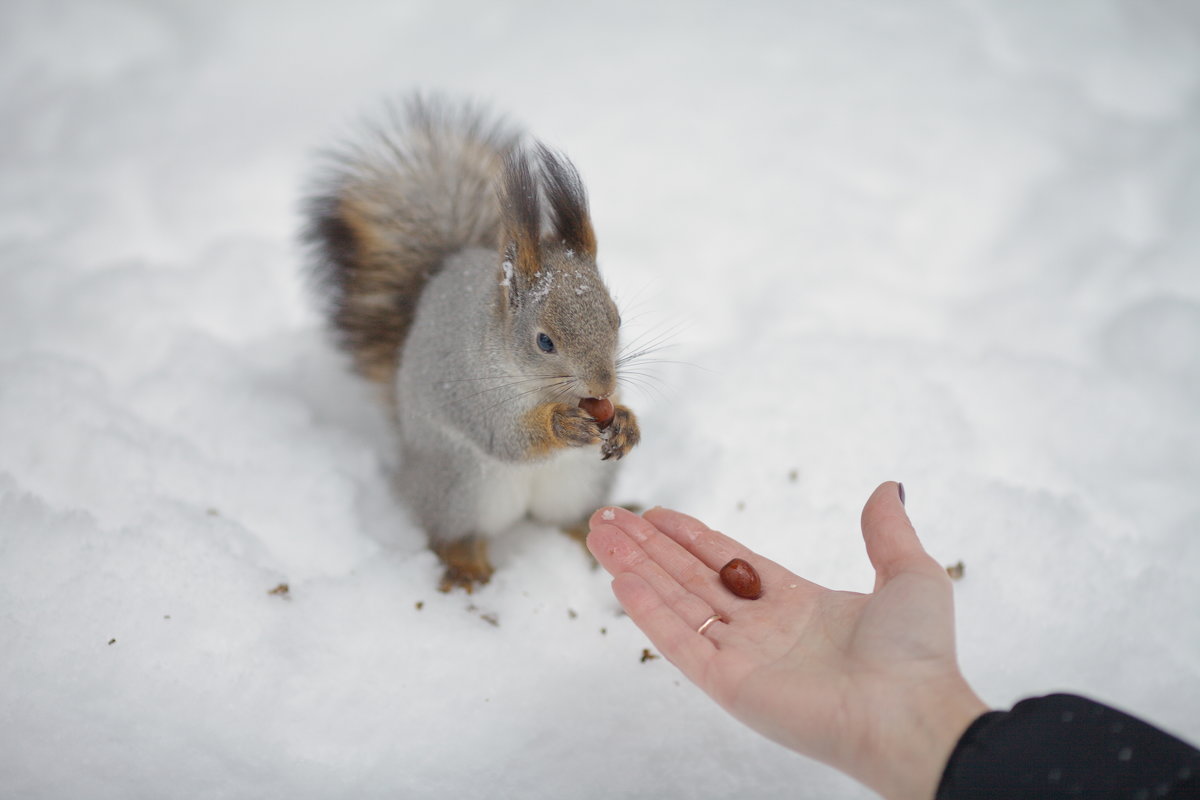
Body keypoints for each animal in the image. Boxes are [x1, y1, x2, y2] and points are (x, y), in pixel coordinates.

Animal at [304, 95, 643, 594]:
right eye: (544, 341)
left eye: (616, 318)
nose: (602, 385)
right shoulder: (470, 388)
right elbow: (505, 436)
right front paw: (560, 425)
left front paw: (625, 421)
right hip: (460, 485)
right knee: (451, 533)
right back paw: (466, 567)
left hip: (581, 480)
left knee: (570, 517)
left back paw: (590, 529)